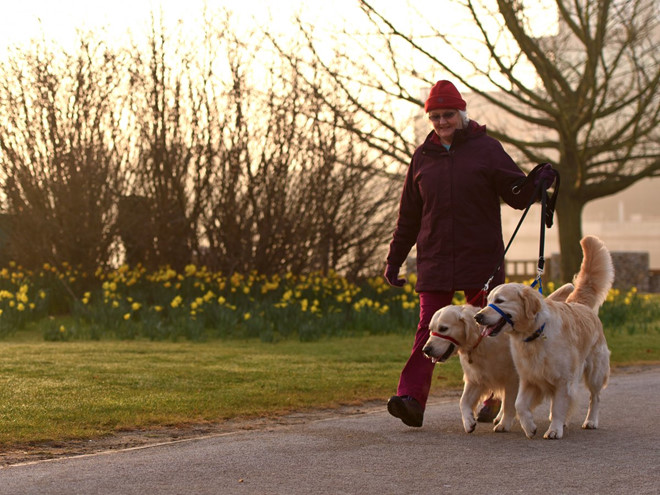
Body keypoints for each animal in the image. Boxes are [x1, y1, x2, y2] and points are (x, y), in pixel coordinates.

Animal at [422, 282, 572, 434]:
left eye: (443, 328)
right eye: (430, 329)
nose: (426, 350)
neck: (481, 341)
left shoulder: (513, 379)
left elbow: (509, 403)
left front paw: (504, 424)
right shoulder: (476, 378)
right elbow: (463, 401)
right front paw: (469, 421)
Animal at [474, 237, 612, 442]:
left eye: (499, 301)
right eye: (489, 300)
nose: (478, 317)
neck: (535, 335)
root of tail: (580, 304)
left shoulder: (563, 379)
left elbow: (558, 406)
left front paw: (554, 430)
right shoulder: (528, 377)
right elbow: (519, 404)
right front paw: (530, 427)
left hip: (596, 370)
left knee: (595, 397)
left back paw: (591, 421)